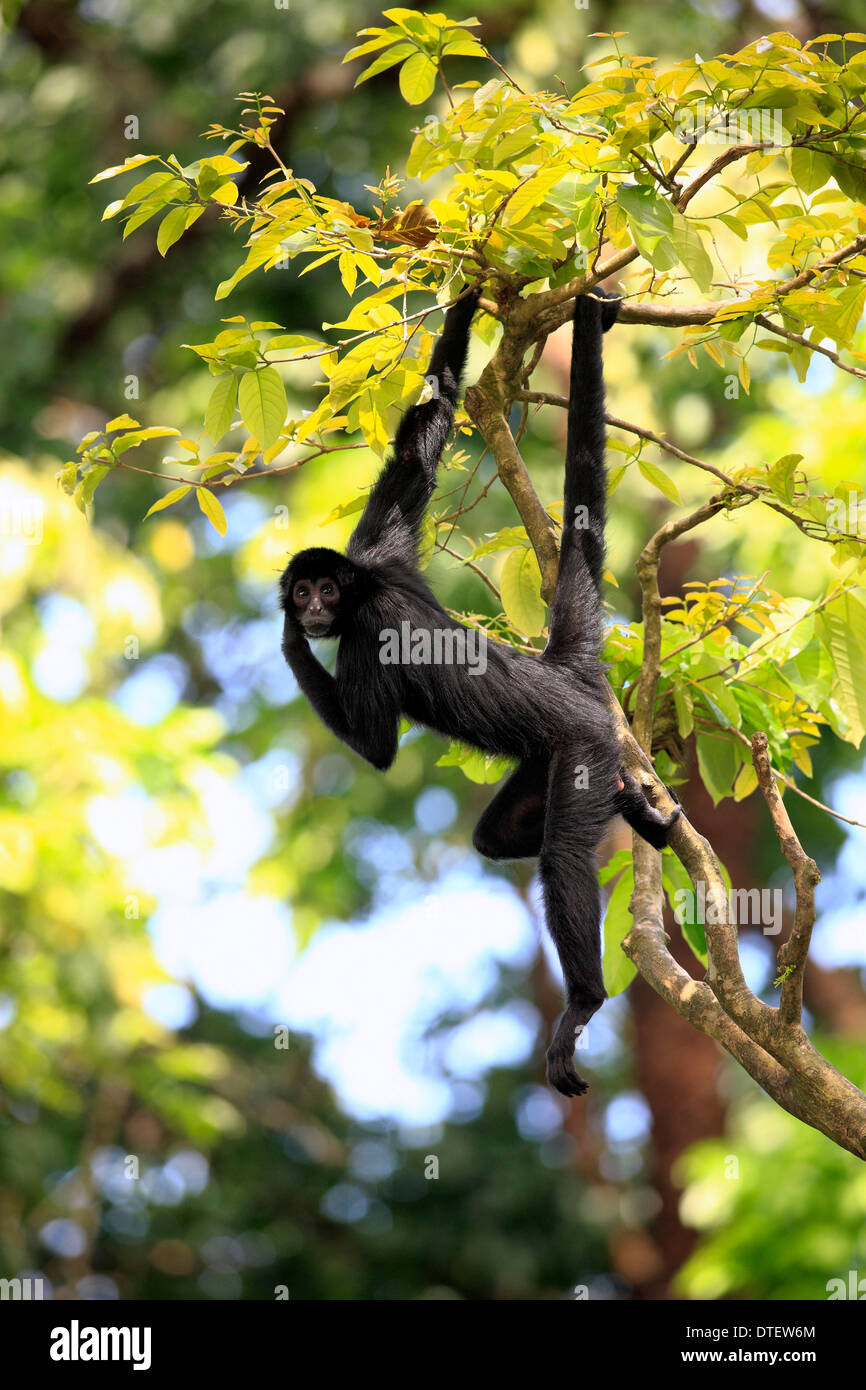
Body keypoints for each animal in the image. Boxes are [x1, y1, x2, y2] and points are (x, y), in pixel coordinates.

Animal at [280, 290, 681, 1095]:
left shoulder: (369, 623)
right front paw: (465, 300)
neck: (364, 586)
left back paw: (583, 1001)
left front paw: (287, 640)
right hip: (552, 758)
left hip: (583, 742)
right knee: (495, 837)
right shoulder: (382, 550)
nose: (307, 606)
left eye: (325, 591)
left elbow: (375, 746)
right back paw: (632, 808)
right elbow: (420, 439)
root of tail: (563, 673)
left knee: (562, 853)